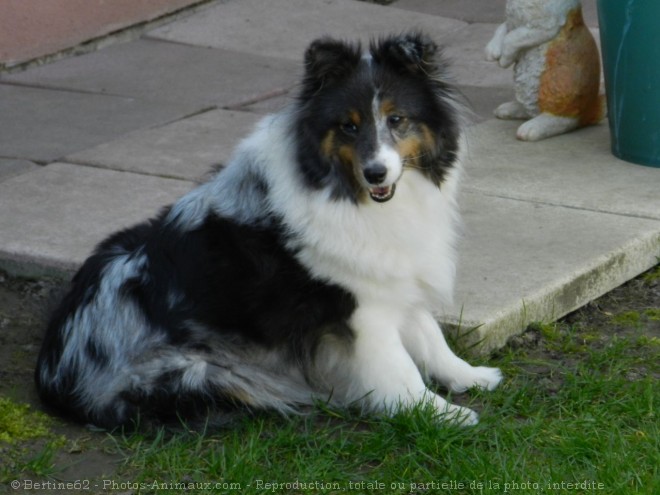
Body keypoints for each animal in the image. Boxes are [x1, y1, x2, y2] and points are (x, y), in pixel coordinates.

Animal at [34, 32, 500, 430]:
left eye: (397, 119)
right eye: (348, 126)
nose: (376, 173)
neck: (344, 191)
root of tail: (55, 373)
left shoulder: (395, 274)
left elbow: (430, 336)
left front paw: (472, 377)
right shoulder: (360, 308)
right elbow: (399, 367)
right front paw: (441, 414)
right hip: (201, 369)